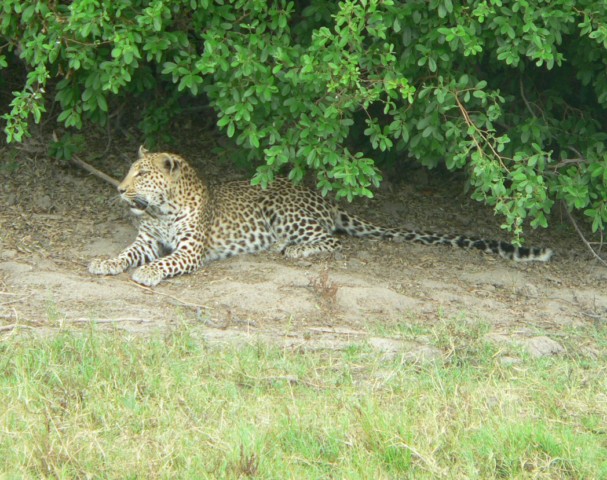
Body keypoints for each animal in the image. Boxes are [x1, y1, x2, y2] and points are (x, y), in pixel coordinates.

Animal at [86, 146, 556, 286]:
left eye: (142, 174)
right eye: (128, 171)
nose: (119, 189)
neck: (163, 207)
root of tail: (320, 196)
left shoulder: (189, 251)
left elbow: (166, 261)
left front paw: (150, 274)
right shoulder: (146, 239)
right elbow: (127, 253)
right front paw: (105, 262)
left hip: (284, 209)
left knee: (332, 239)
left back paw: (293, 251)